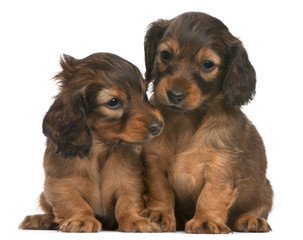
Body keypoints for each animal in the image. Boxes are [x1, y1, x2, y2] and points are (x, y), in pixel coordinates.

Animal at [19, 52, 164, 232]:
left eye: (144, 93)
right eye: (113, 102)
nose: (158, 126)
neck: (100, 149)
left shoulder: (130, 180)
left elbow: (128, 201)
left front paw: (135, 220)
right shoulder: (60, 183)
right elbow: (72, 203)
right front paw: (82, 219)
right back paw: (39, 219)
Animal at [141, 12, 274, 233]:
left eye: (208, 64)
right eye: (165, 55)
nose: (174, 95)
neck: (185, 121)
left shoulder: (220, 166)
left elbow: (211, 196)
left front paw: (206, 220)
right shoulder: (155, 159)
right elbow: (160, 190)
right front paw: (158, 213)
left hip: (264, 189)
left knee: (254, 208)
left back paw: (250, 220)